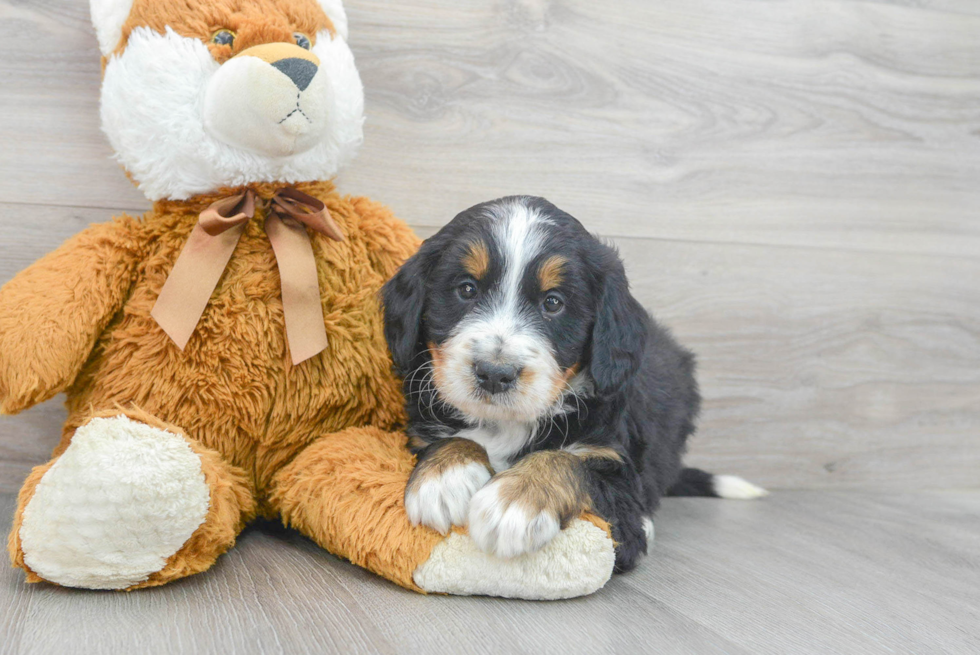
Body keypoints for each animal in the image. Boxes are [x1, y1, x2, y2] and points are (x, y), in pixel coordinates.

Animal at [382, 196, 764, 576]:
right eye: (466, 289)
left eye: (553, 302)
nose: (494, 373)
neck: (508, 424)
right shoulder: (418, 433)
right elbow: (450, 438)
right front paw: (445, 479)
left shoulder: (619, 492)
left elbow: (568, 461)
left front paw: (516, 501)